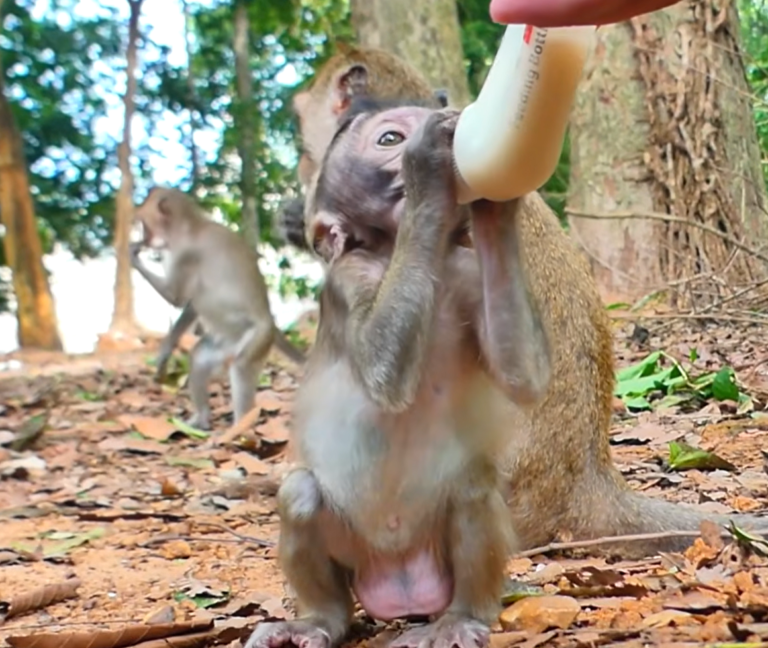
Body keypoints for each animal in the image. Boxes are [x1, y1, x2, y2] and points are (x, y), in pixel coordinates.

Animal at [130, 186, 305, 430]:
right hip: (226, 345)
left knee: (240, 367)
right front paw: (165, 350)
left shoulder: (186, 255)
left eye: (143, 216)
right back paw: (202, 420)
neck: (190, 227)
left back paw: (240, 425)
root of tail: (270, 321)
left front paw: (131, 254)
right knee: (199, 358)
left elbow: (176, 298)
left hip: (258, 338)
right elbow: (191, 304)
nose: (134, 214)